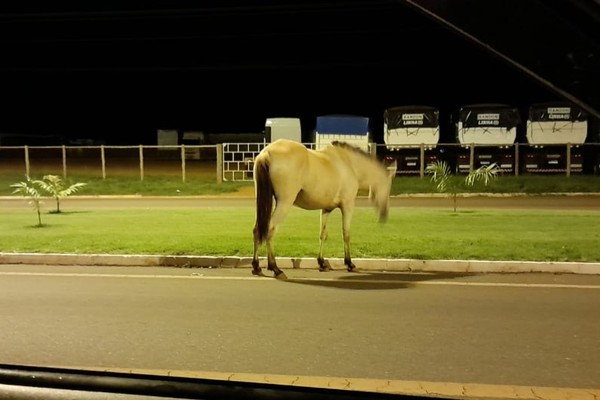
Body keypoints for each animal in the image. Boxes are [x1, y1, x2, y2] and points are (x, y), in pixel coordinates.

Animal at [251, 139, 396, 280]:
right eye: (388, 187)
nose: (384, 215)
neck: (349, 164)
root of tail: (267, 153)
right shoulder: (347, 206)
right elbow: (346, 234)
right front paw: (349, 264)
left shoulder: (326, 209)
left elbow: (323, 235)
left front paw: (322, 263)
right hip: (284, 203)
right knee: (270, 230)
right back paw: (275, 269)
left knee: (257, 230)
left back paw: (256, 267)